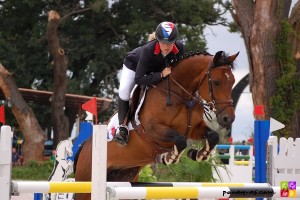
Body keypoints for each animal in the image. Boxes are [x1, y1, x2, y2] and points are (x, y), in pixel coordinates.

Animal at [74, 50, 239, 199]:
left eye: (232, 81)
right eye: (216, 82)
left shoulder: (194, 128)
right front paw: (169, 157)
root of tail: (85, 146)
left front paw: (198, 154)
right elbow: (180, 141)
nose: (228, 118)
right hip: (86, 183)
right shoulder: (153, 130)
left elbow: (213, 136)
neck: (179, 94)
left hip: (125, 175)